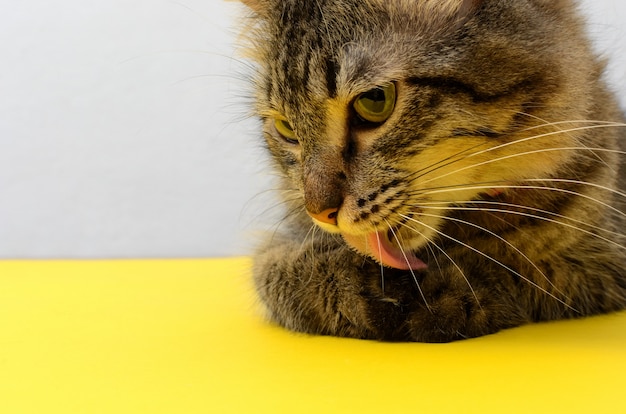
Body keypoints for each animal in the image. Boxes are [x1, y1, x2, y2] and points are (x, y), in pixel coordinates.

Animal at [235, 0, 624, 342]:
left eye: (375, 101)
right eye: (286, 127)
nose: (321, 213)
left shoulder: (601, 258)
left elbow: (517, 267)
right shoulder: (284, 242)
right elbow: (278, 275)